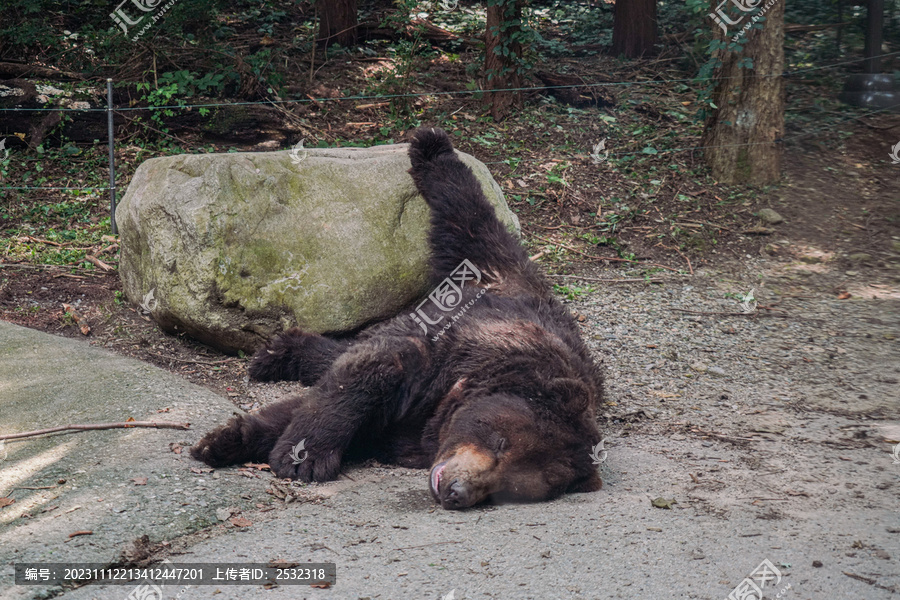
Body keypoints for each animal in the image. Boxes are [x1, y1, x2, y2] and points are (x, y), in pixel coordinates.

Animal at [193, 129, 608, 508]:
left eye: (512, 487)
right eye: (501, 442)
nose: (457, 491)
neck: (451, 398)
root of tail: (535, 285)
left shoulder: (418, 428)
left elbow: (360, 418)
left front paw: (236, 441)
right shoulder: (454, 353)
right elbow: (369, 375)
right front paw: (293, 454)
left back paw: (282, 350)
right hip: (485, 264)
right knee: (464, 210)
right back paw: (432, 144)